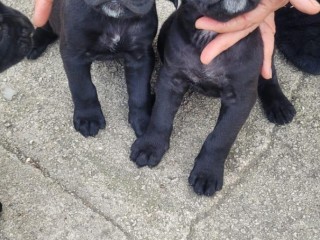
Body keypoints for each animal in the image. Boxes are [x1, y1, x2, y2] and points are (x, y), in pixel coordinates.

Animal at [131, 0, 296, 196]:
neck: (209, 36)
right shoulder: (171, 80)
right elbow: (160, 116)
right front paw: (150, 145)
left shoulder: (240, 98)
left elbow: (221, 136)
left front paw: (207, 172)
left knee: (269, 74)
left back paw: (279, 105)